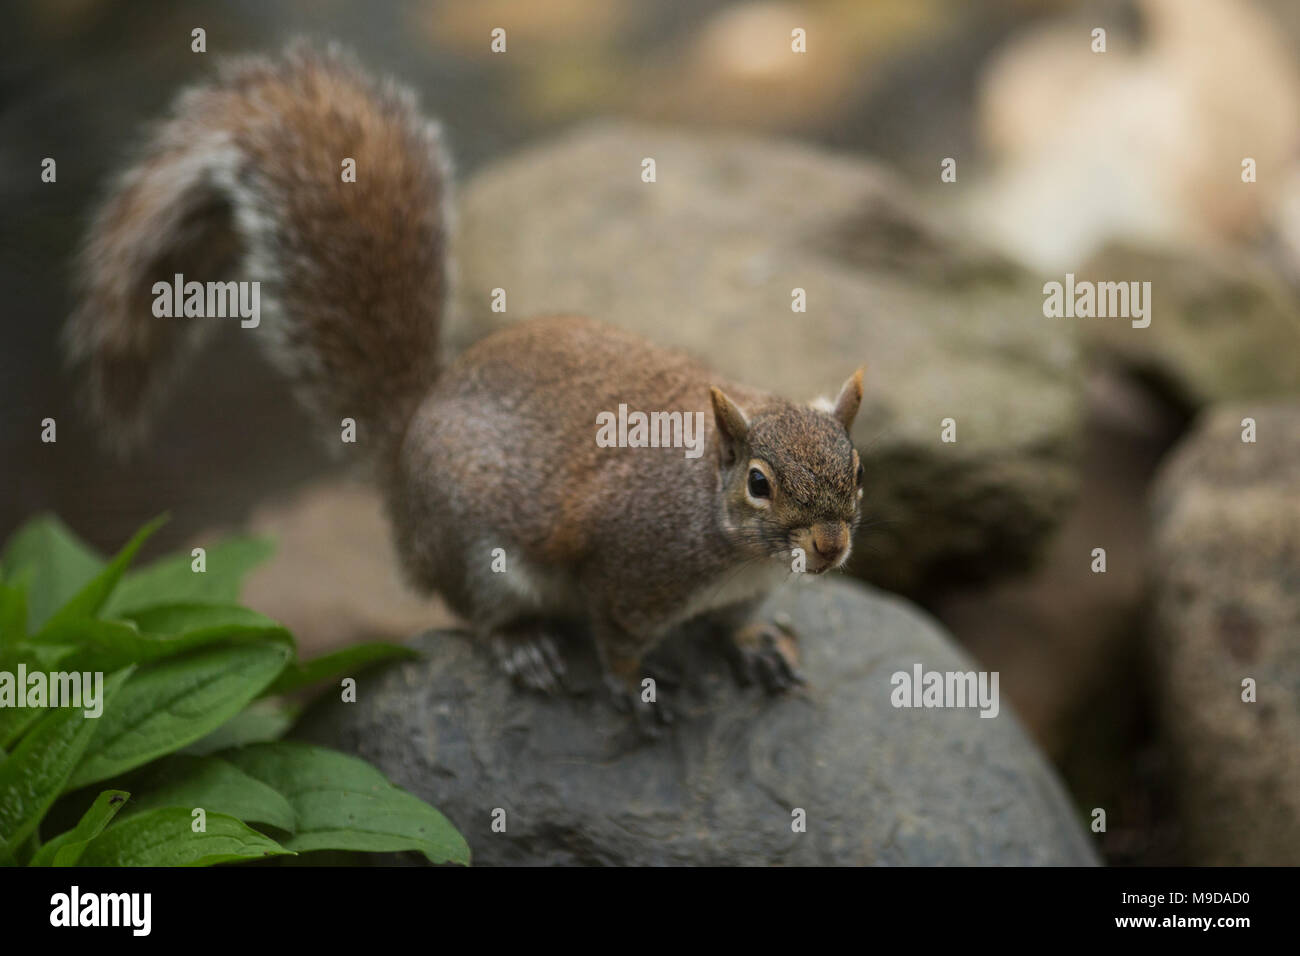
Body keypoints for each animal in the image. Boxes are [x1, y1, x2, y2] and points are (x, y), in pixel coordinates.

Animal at [63, 41, 863, 728]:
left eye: (857, 472)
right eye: (758, 483)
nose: (829, 548)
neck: (735, 546)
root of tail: (404, 455)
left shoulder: (741, 590)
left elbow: (738, 623)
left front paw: (756, 646)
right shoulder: (628, 569)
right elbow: (616, 640)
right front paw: (633, 688)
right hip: (478, 557)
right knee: (478, 614)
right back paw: (525, 646)